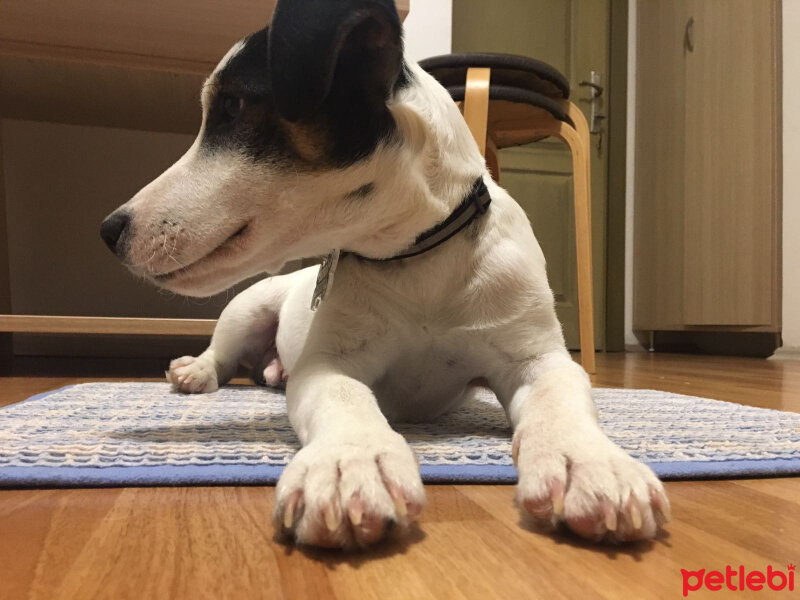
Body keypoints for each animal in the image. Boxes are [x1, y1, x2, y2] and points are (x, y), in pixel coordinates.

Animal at [100, 0, 668, 548]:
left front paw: (590, 464)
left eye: (234, 107)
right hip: (248, 306)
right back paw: (198, 371)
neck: (414, 257)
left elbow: (562, 401)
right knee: (222, 352)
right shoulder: (329, 365)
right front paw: (351, 462)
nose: (109, 231)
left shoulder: (535, 360)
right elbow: (345, 398)